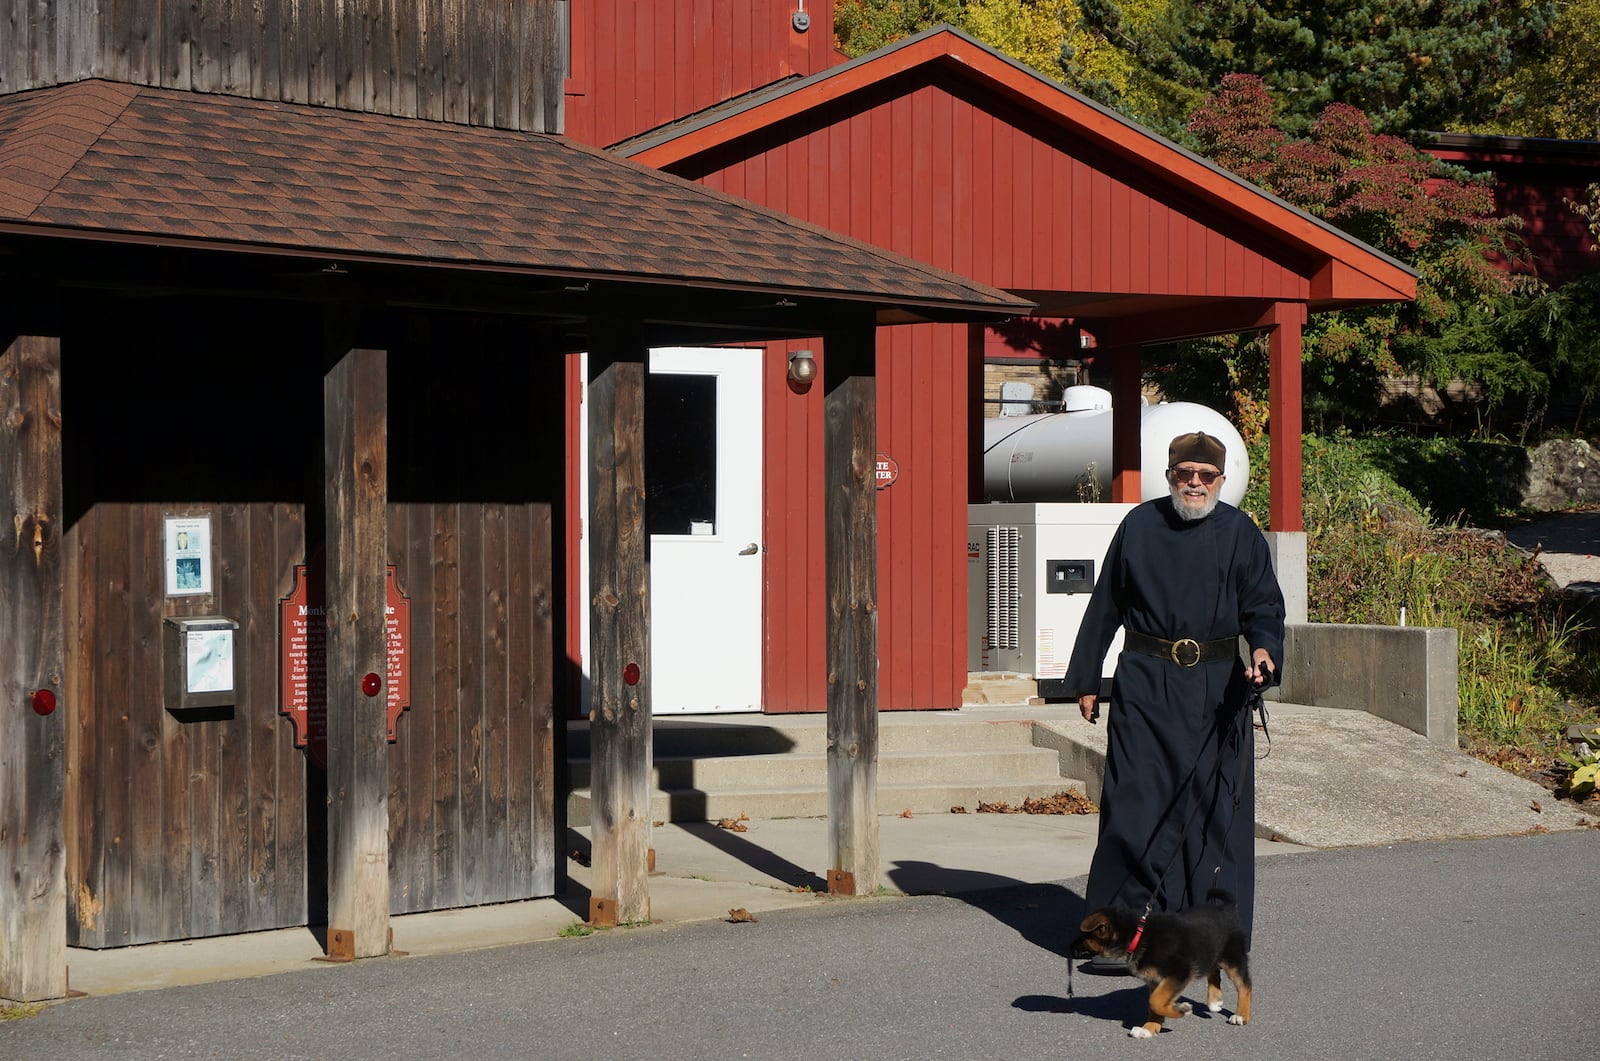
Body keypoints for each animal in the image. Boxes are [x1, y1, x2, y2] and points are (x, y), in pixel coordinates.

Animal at [1075, 889, 1248, 1043]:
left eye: (1083, 937)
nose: (1071, 949)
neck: (1138, 935)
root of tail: (1226, 908)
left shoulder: (1179, 972)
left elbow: (1155, 1001)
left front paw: (1181, 1010)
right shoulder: (1155, 980)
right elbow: (1154, 1003)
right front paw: (1149, 1028)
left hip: (1233, 957)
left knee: (1245, 986)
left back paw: (1242, 1015)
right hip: (1209, 951)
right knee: (1213, 970)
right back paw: (1214, 1001)